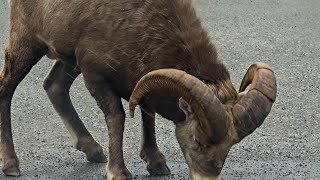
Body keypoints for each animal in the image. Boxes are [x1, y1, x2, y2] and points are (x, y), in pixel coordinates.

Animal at [0, 0, 276, 179]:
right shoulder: (96, 77)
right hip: (27, 42)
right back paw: (11, 164)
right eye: (197, 140)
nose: (206, 177)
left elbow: (148, 114)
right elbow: (118, 118)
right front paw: (119, 172)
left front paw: (157, 164)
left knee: (54, 86)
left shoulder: (138, 80)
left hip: (67, 59)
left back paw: (93, 150)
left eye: (231, 144)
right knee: (6, 90)